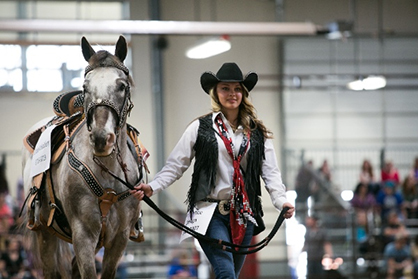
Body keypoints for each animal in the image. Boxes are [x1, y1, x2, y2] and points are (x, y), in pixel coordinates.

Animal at [21, 36, 144, 279]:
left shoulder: (119, 238)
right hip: (44, 232)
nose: (101, 138)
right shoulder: (83, 234)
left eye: (122, 86)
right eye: (85, 87)